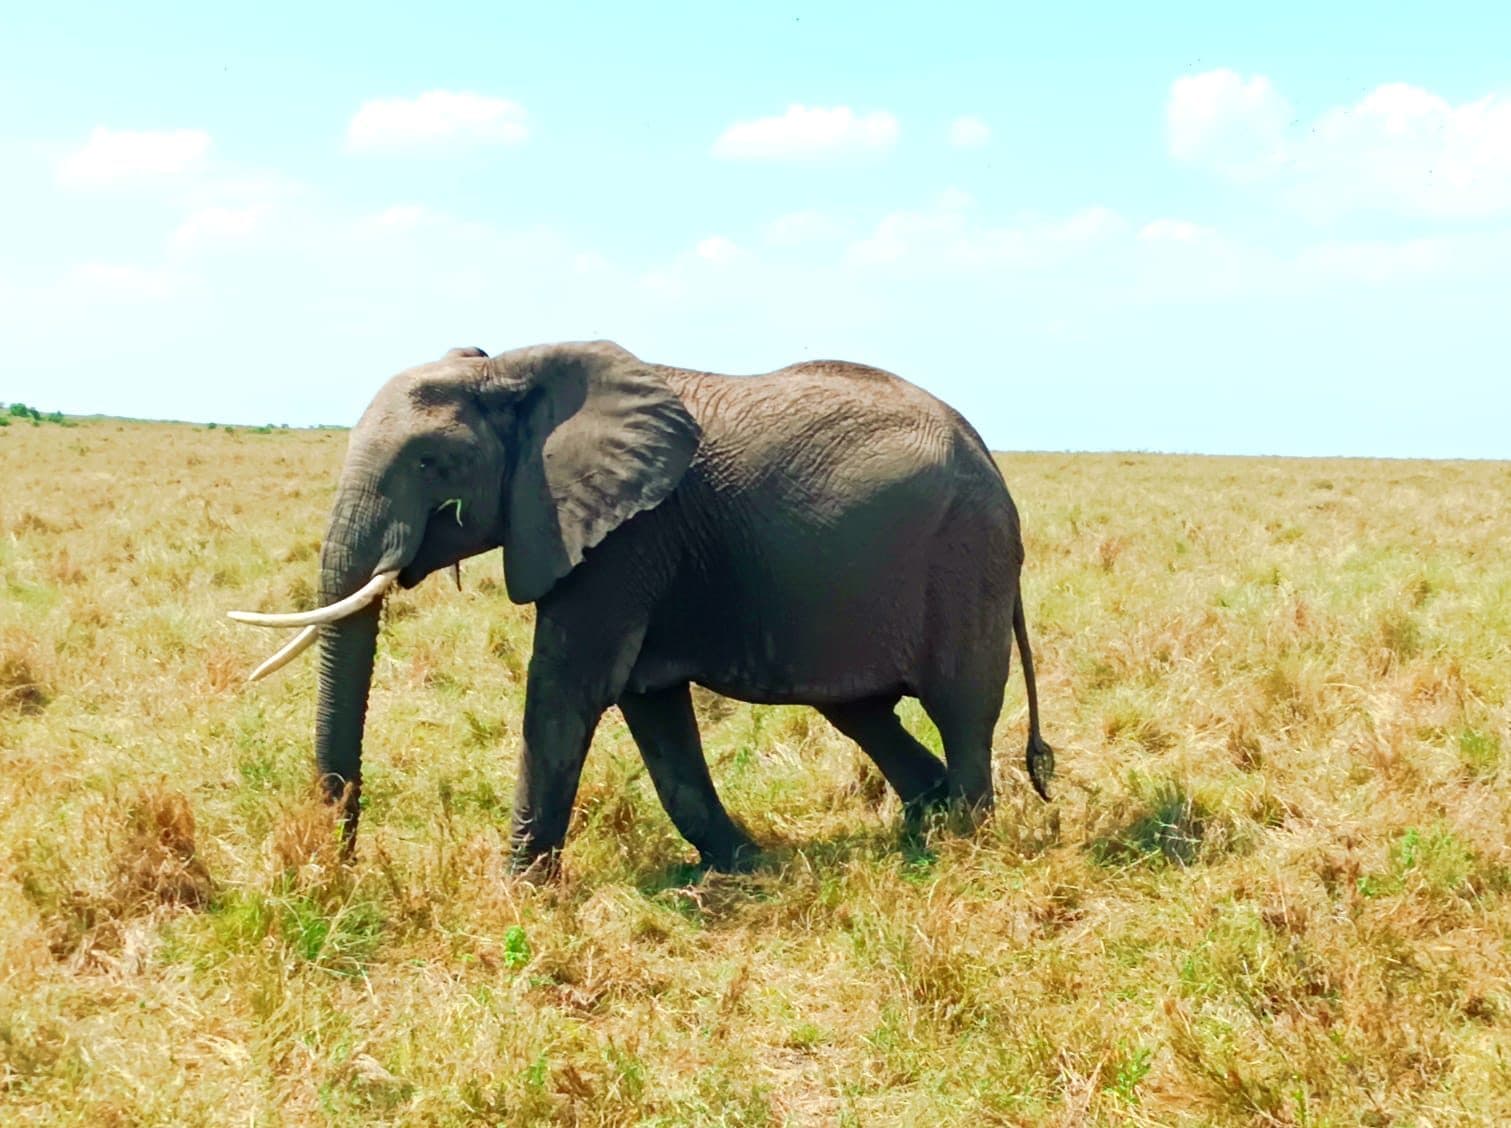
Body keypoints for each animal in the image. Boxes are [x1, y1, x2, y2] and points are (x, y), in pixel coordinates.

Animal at [231, 340, 1054, 875]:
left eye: (432, 464)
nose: (336, 868)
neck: (513, 367)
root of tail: (987, 453)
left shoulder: (627, 534)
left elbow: (568, 688)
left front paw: (516, 889)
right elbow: (649, 703)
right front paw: (744, 865)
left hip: (966, 556)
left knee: (962, 708)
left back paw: (964, 843)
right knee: (860, 710)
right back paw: (925, 825)